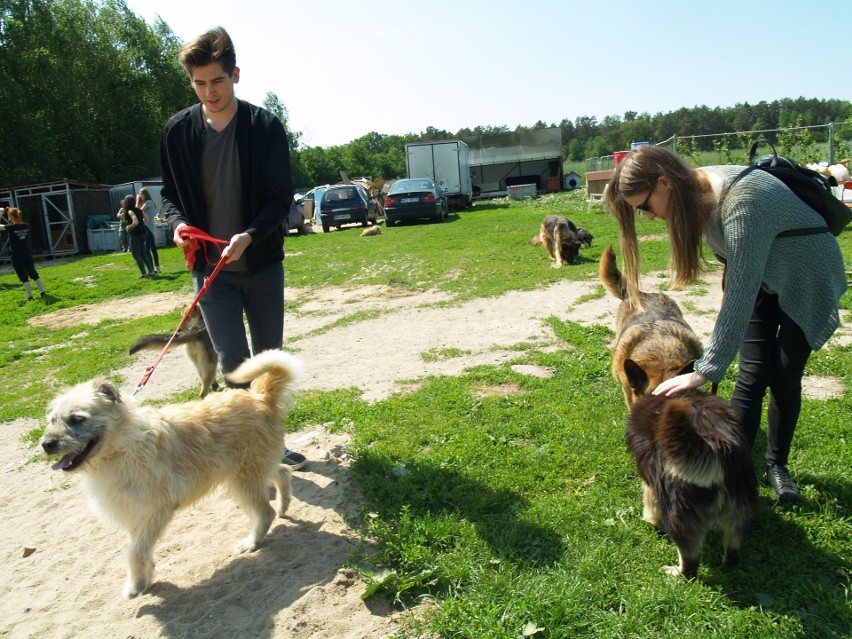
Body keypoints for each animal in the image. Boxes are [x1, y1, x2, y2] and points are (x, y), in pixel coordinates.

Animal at [40, 350, 302, 600]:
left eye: (78, 418)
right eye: (52, 420)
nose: (46, 444)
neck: (121, 446)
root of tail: (260, 397)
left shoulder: (155, 511)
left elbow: (135, 551)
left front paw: (135, 586)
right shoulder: (135, 514)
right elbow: (139, 550)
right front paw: (145, 578)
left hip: (243, 479)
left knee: (265, 512)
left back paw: (252, 541)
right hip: (254, 469)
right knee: (282, 472)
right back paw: (283, 505)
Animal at [624, 390, 760, 580]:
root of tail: (716, 448)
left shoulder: (651, 479)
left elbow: (650, 502)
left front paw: (651, 520)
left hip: (678, 514)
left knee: (690, 561)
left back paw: (676, 572)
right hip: (738, 510)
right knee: (732, 551)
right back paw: (727, 566)